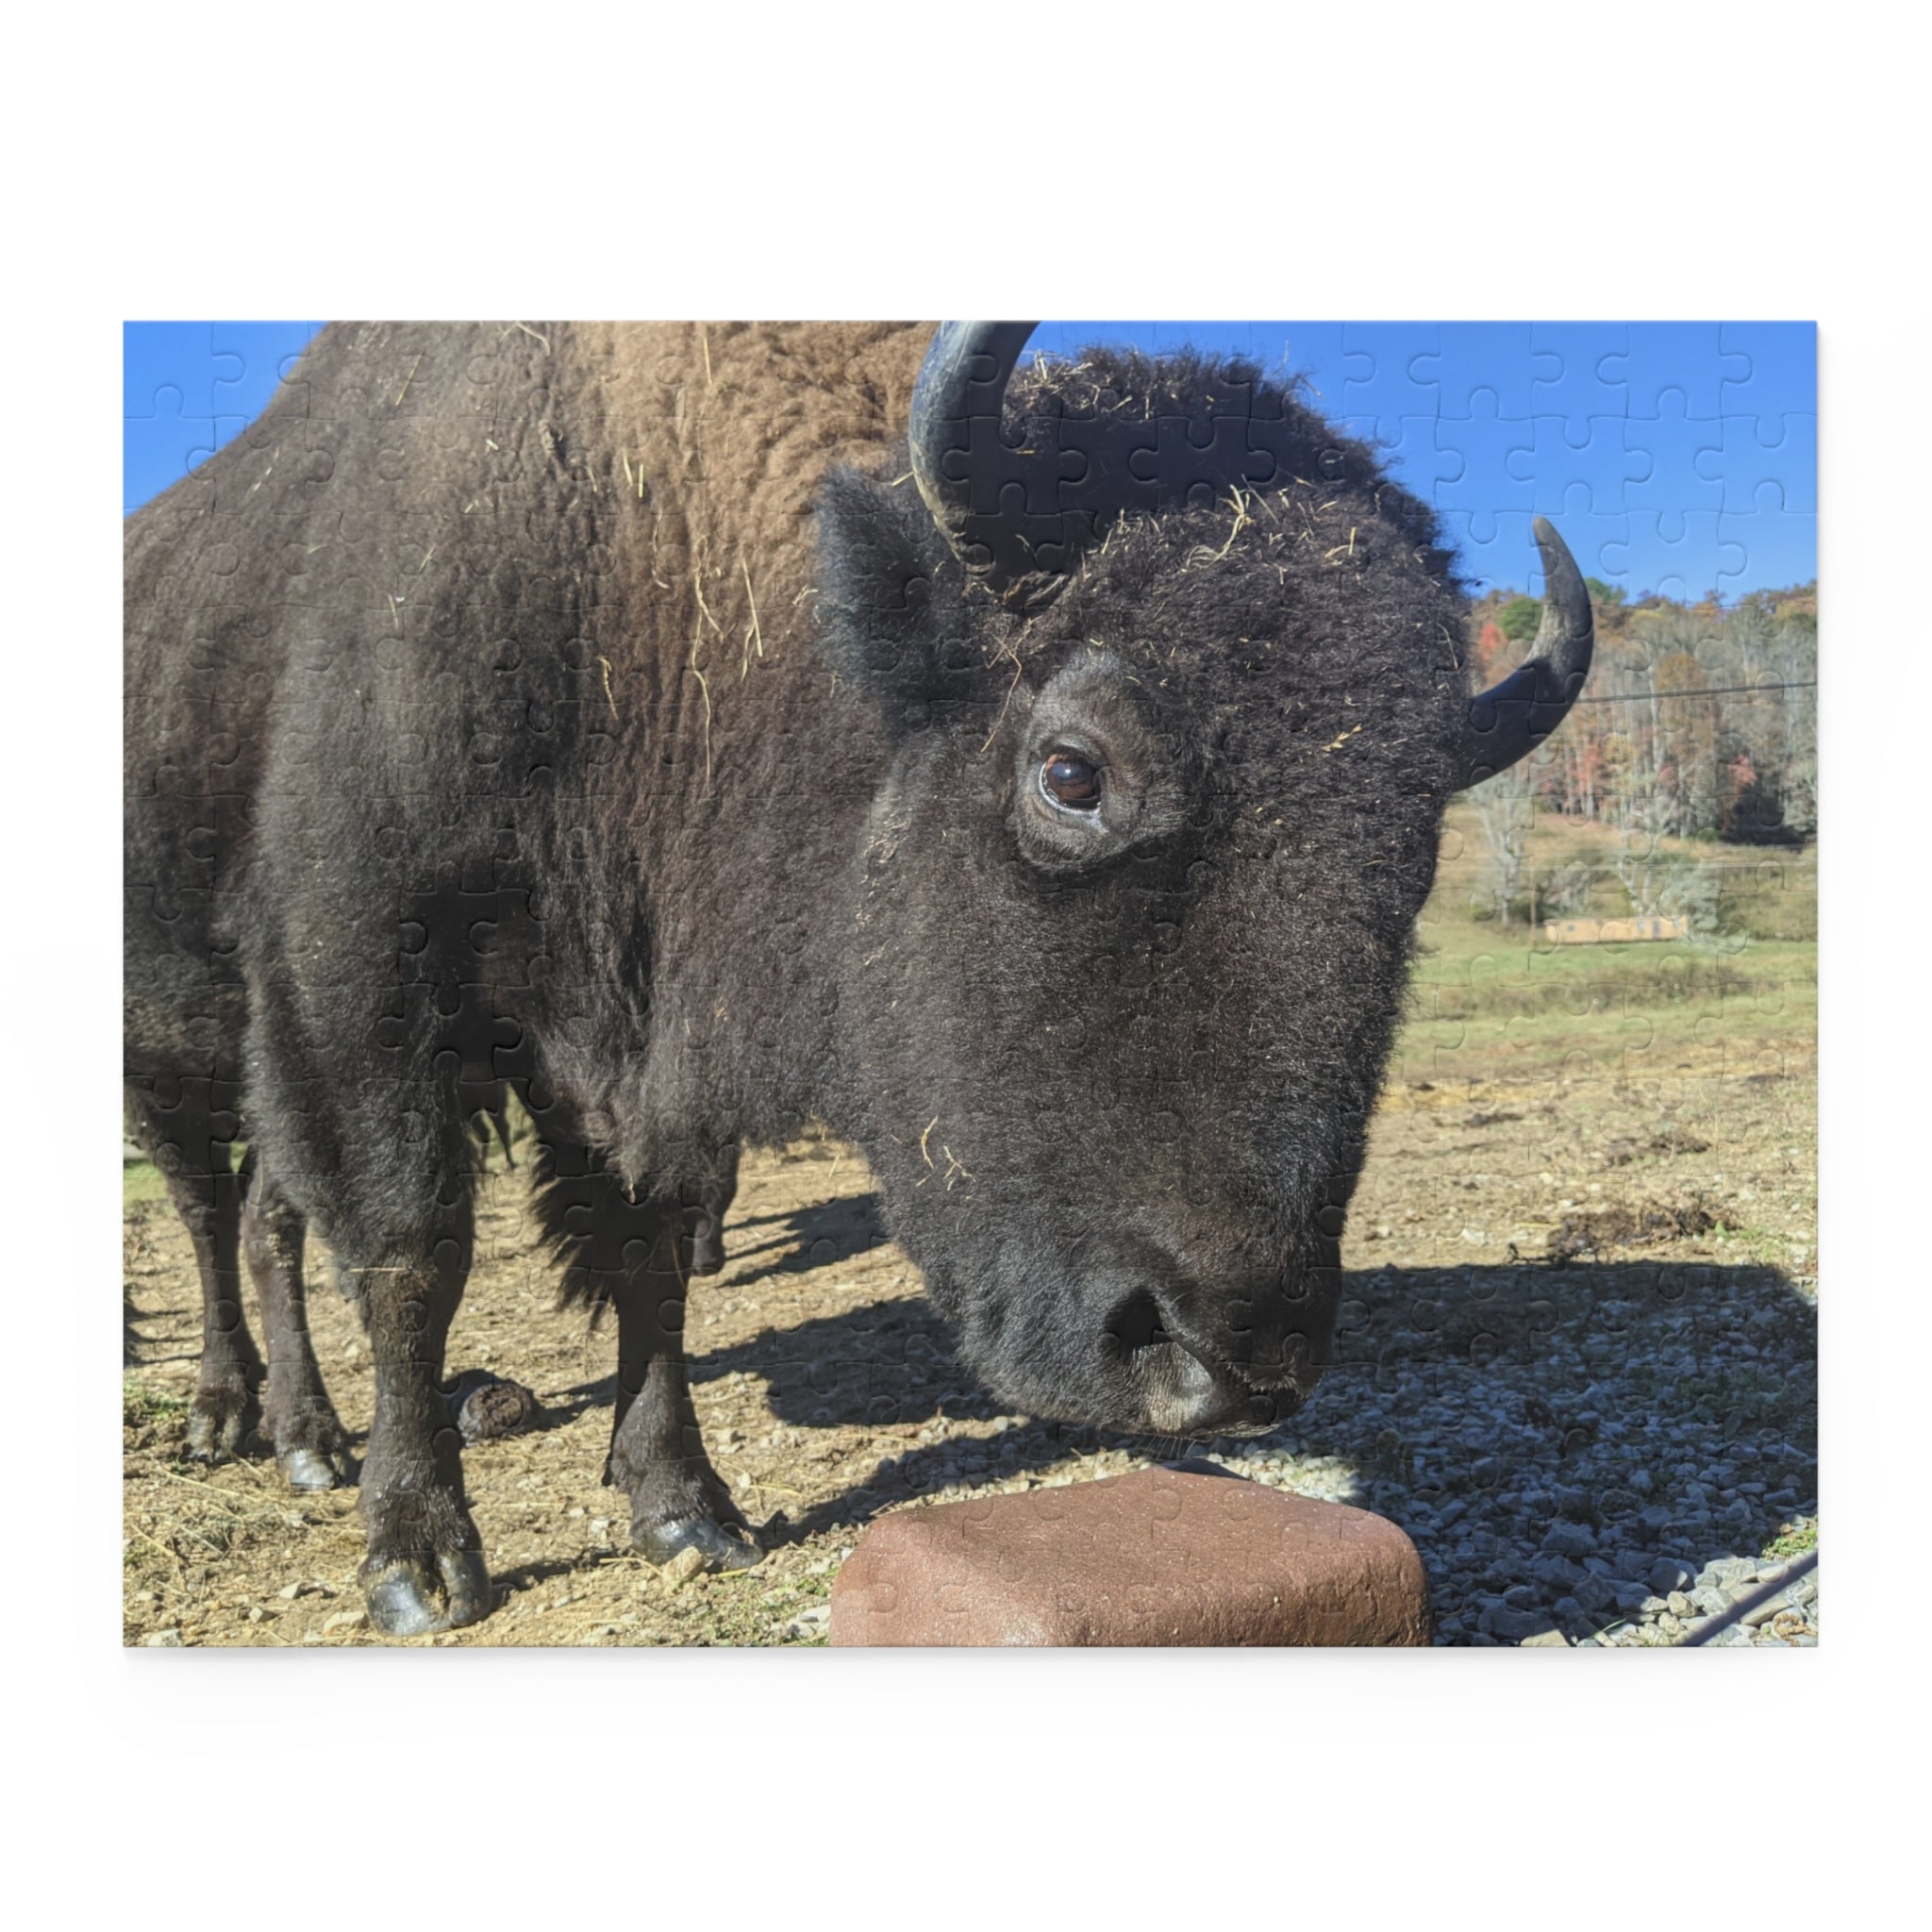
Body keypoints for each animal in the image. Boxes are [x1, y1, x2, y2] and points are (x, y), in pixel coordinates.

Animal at [124, 321, 1591, 1635]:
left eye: (1416, 846)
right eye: (1071, 771)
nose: (1226, 1361)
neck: (653, 568)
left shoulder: (641, 1068)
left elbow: (645, 1265)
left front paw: (689, 1511)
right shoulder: (359, 984)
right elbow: (411, 1255)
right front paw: (420, 1565)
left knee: (260, 1219)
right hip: (173, 1056)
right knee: (225, 1220)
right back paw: (262, 1427)